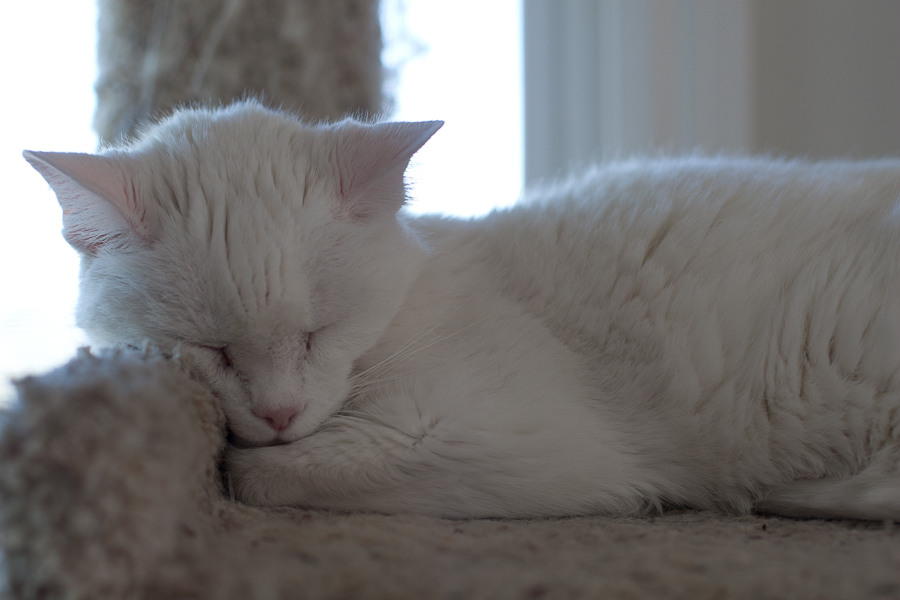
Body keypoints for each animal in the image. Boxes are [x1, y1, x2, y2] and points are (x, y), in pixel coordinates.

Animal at [24, 99, 900, 520]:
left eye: (317, 333)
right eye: (214, 351)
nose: (277, 412)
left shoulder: (508, 440)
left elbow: (264, 473)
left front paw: (259, 457)